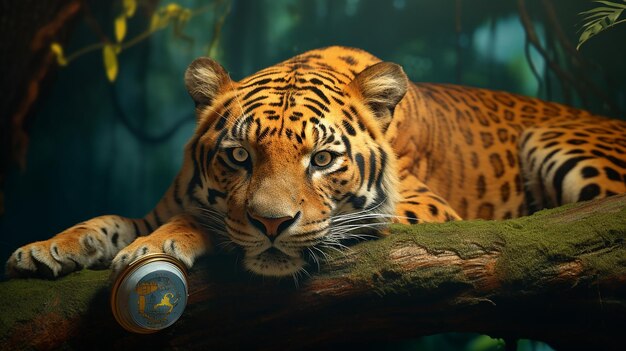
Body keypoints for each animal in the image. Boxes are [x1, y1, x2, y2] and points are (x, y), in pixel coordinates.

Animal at [6, 45, 624, 280]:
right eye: (239, 156)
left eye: (323, 160)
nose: (272, 224)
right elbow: (107, 220)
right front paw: (47, 247)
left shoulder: (428, 210)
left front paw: (161, 243)